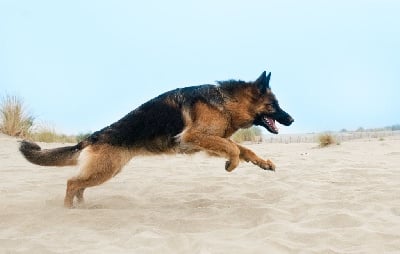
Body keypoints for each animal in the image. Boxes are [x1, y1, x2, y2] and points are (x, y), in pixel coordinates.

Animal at [19, 70, 294, 207]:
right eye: (274, 106)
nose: (291, 120)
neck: (227, 102)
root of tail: (92, 138)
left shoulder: (208, 140)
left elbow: (243, 149)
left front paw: (263, 162)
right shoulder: (195, 136)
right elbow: (234, 149)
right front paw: (231, 164)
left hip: (107, 170)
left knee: (78, 185)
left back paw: (82, 206)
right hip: (105, 170)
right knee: (71, 183)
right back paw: (68, 211)